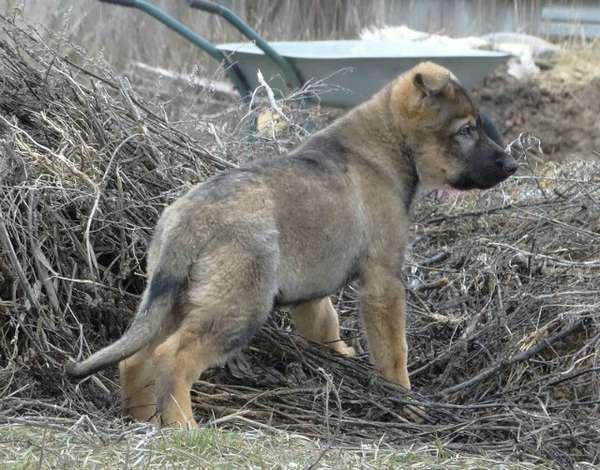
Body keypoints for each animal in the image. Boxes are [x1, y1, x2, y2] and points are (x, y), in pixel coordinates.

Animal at [65, 61, 516, 426]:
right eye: (466, 130)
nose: (512, 165)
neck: (387, 144)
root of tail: (190, 218)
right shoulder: (383, 280)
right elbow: (393, 351)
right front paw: (406, 402)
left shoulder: (311, 293)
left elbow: (327, 327)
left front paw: (343, 358)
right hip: (237, 307)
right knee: (171, 357)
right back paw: (183, 427)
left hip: (177, 298)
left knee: (136, 358)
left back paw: (140, 420)